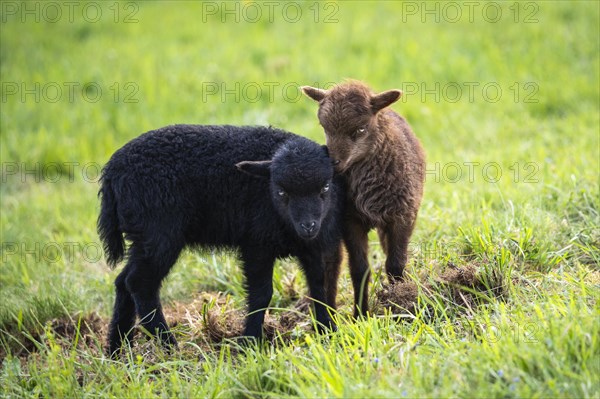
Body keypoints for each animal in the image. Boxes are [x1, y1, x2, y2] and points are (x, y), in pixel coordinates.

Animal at [96, 125, 344, 356]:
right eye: (282, 192)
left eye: (325, 186)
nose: (308, 225)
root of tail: (112, 171)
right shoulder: (256, 245)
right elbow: (262, 294)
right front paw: (250, 341)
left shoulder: (313, 247)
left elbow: (319, 287)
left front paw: (328, 332)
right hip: (158, 233)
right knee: (140, 283)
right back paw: (169, 347)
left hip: (143, 237)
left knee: (123, 281)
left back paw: (117, 350)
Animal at [302, 81, 424, 318]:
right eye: (325, 128)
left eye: (360, 129)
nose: (334, 163)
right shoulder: (350, 220)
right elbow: (359, 269)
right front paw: (361, 315)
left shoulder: (402, 216)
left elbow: (395, 264)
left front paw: (399, 303)